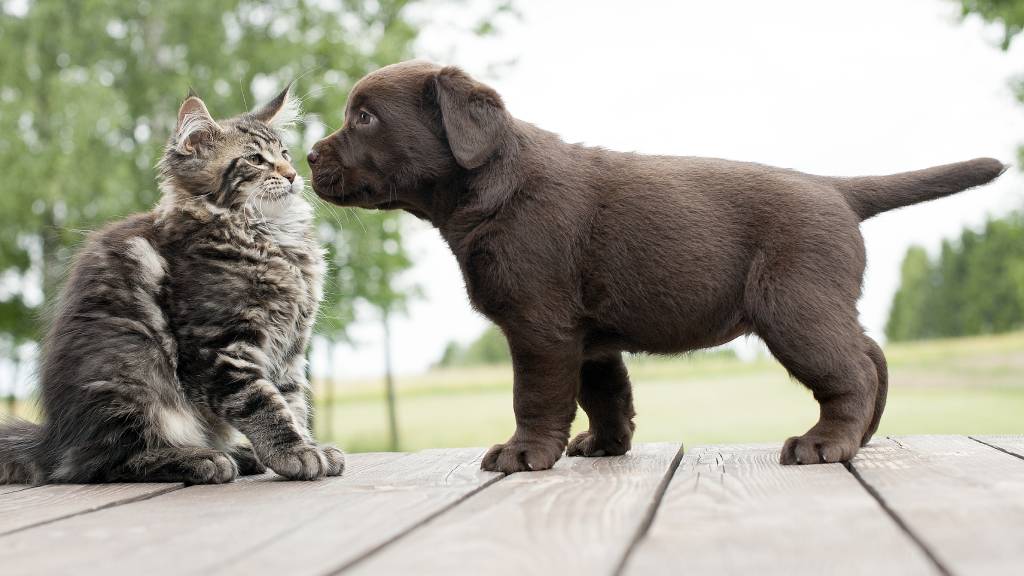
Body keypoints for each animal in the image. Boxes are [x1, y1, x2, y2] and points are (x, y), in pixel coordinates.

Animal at [0, 87, 344, 481]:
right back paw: (200, 458)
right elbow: (262, 402)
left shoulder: (290, 349)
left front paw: (308, 445)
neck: (269, 237)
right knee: (106, 462)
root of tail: (54, 441)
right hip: (133, 369)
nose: (292, 174)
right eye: (256, 160)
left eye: (284, 154)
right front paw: (294, 452)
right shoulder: (221, 347)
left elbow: (292, 401)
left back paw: (239, 454)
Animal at [307, 59, 1003, 471]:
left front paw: (525, 453)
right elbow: (605, 394)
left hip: (794, 307)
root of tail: (835, 188)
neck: (493, 185)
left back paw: (825, 443)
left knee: (851, 369)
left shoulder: (538, 326)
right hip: (818, 303)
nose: (309, 156)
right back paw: (863, 437)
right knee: (871, 355)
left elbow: (536, 396)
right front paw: (603, 447)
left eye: (364, 118)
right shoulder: (586, 337)